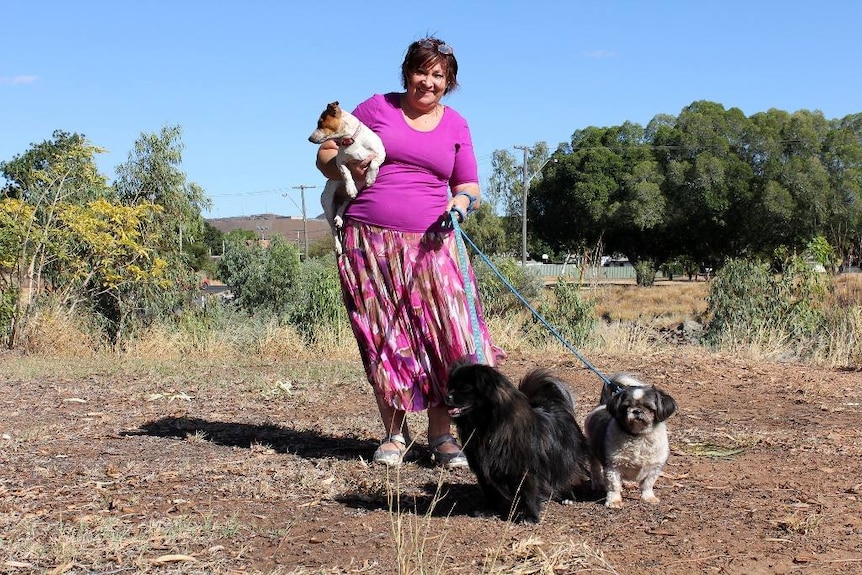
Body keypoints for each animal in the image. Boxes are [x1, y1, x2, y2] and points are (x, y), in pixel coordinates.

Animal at [306, 101, 384, 254]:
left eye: (320, 123)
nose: (309, 138)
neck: (352, 141)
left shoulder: (381, 153)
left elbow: (374, 163)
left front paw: (370, 178)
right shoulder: (340, 161)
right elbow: (346, 173)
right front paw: (350, 186)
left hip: (351, 197)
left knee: (343, 205)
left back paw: (339, 218)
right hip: (327, 203)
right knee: (333, 229)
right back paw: (337, 244)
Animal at [446, 362, 592, 524]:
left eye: (465, 388)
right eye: (450, 386)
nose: (447, 396)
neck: (487, 426)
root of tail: (553, 406)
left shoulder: (526, 470)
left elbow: (528, 493)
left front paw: (530, 516)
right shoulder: (483, 470)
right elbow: (490, 492)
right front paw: (489, 510)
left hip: (564, 458)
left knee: (569, 475)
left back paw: (568, 496)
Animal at [584, 376, 680, 510]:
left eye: (649, 407)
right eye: (626, 407)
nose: (636, 411)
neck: (639, 436)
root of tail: (603, 404)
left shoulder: (655, 467)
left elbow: (648, 484)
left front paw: (648, 497)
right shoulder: (613, 466)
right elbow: (614, 486)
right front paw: (614, 501)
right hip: (592, 451)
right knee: (595, 468)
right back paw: (598, 483)